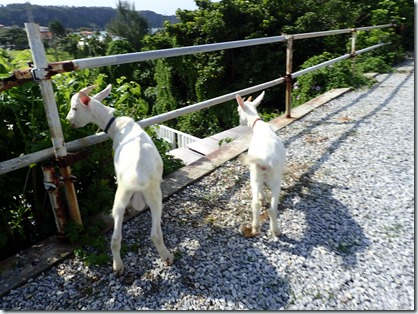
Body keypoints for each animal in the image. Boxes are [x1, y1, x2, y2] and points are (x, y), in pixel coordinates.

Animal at [66, 84, 173, 274]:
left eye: (75, 108)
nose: (68, 120)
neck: (116, 125)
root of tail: (137, 178)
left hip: (121, 197)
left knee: (117, 237)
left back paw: (118, 266)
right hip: (151, 194)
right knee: (153, 233)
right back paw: (165, 256)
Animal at [237, 92, 286, 237]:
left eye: (238, 111)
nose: (240, 122)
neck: (258, 125)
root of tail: (264, 160)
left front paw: (262, 199)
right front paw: (264, 199)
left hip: (254, 173)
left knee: (255, 203)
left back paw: (255, 227)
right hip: (275, 178)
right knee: (273, 208)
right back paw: (275, 230)